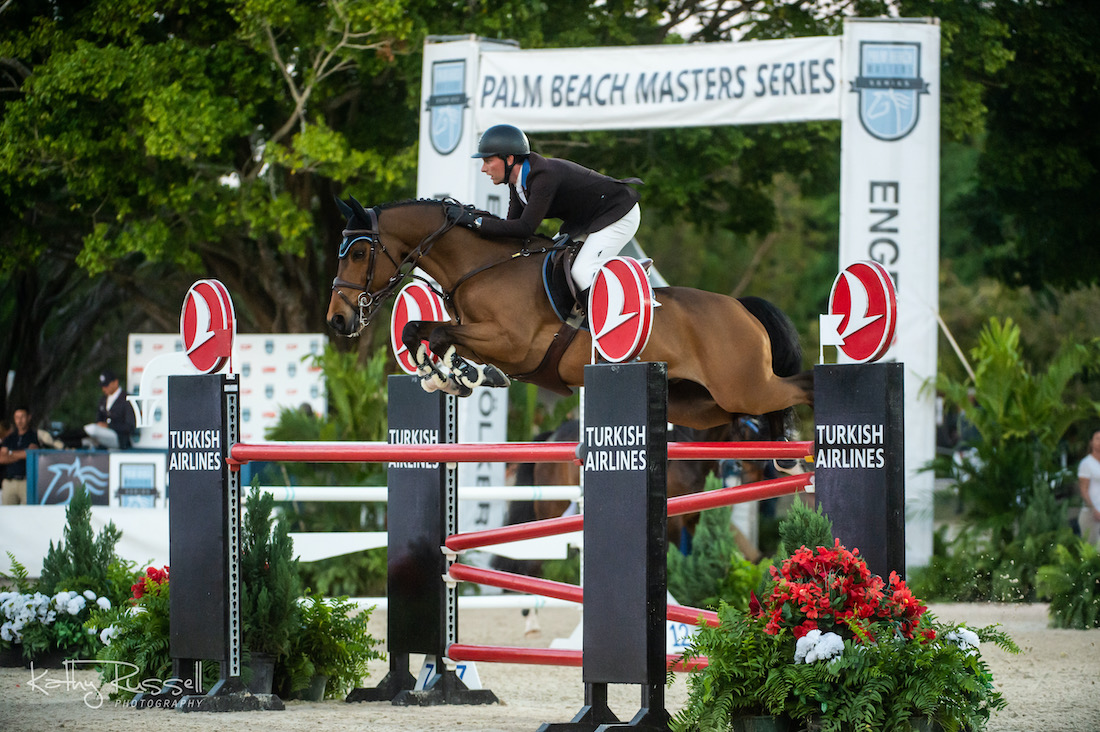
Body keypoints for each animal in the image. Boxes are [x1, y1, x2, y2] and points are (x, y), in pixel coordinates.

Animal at [321, 197, 814, 431]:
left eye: (360, 252)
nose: (337, 320)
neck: (483, 266)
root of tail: (741, 309)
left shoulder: (513, 343)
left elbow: (431, 330)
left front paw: (459, 374)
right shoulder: (482, 335)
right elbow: (421, 331)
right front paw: (449, 376)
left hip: (745, 387)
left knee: (801, 387)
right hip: (703, 405)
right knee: (743, 414)